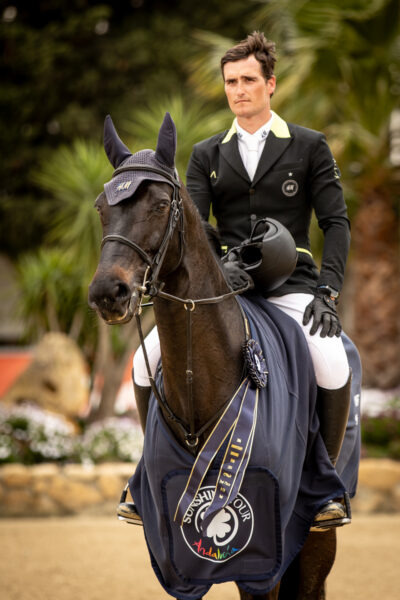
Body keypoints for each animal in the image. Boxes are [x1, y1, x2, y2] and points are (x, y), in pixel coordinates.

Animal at [88, 113, 360, 600]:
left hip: (318, 532)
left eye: (160, 204)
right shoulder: (174, 542)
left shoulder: (265, 535)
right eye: (102, 206)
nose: (108, 293)